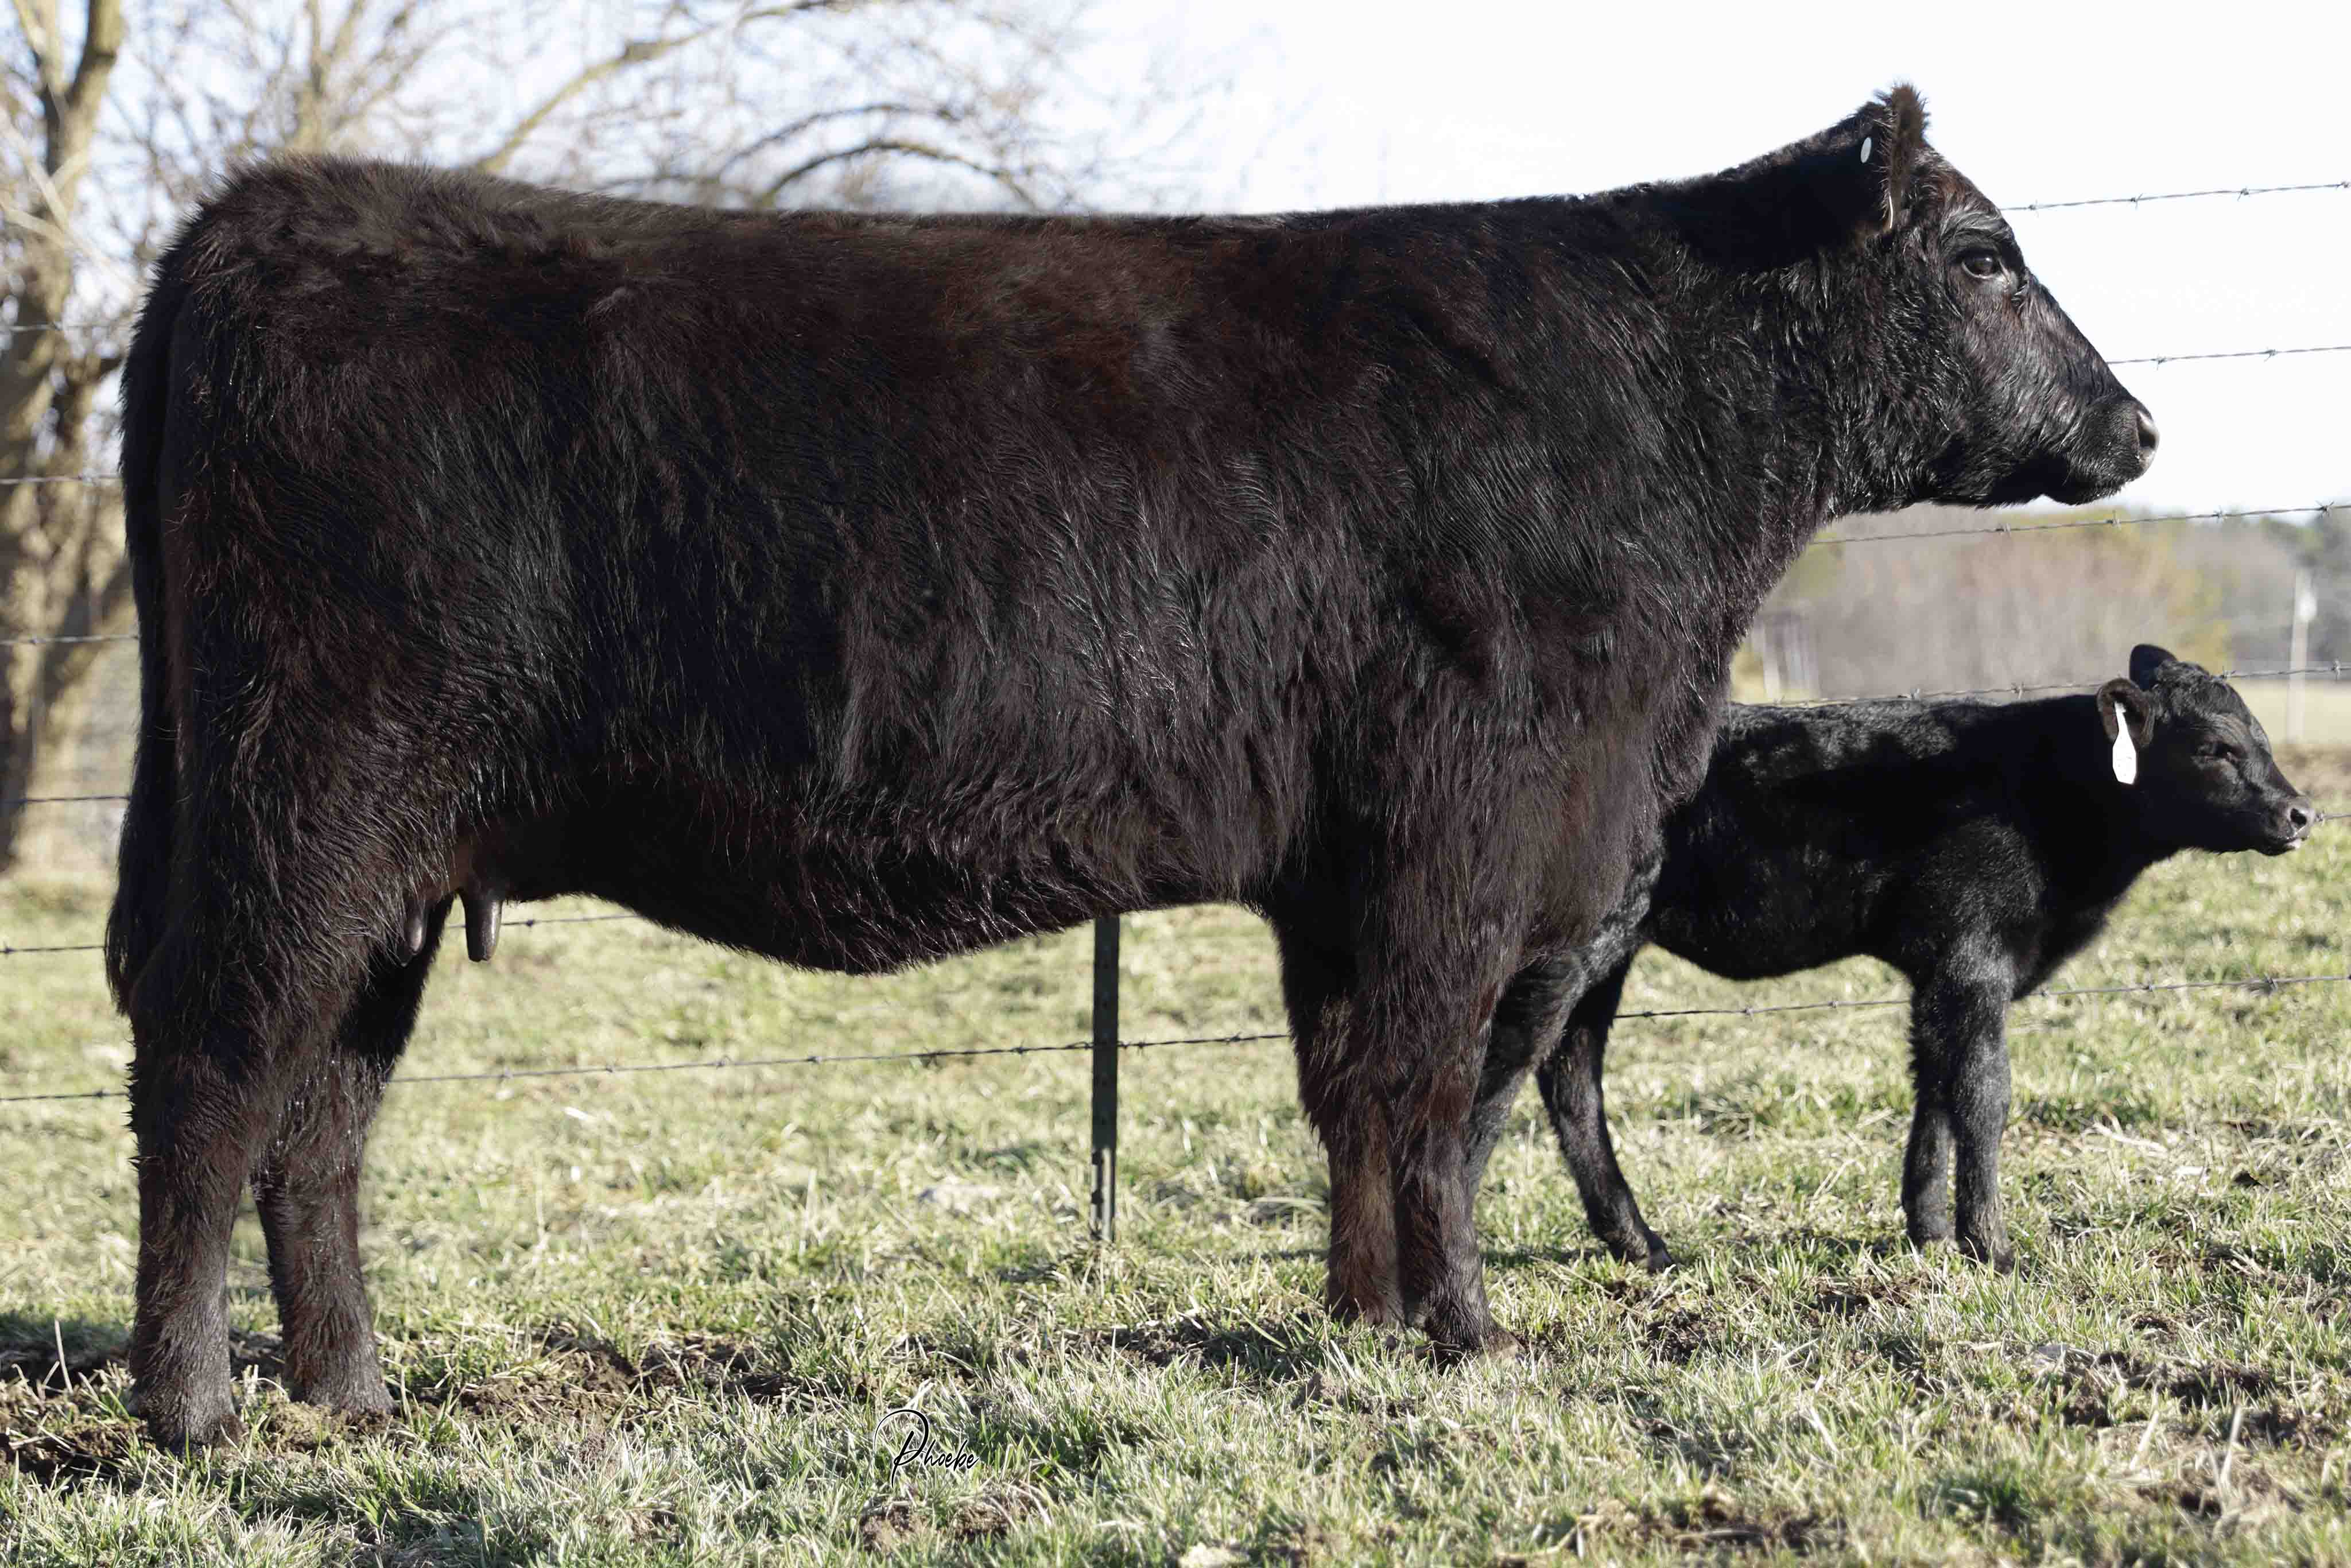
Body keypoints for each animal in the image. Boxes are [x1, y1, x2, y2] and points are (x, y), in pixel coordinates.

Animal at [109, 85, 2152, 1444]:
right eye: (1986, 254)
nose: (2135, 423)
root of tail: (260, 220)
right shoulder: (1464, 836)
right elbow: (1434, 1092)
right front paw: (1464, 1333)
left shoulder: (1355, 869)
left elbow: (1356, 1097)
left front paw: (1360, 1319)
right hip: (303, 803)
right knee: (214, 1073)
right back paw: (194, 1409)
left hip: (384, 856)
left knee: (321, 1114)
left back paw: (355, 1392)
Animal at [1483, 648, 2312, 1273]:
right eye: (2215, 748)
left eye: (2262, 738)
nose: (2300, 812)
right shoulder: (1973, 960)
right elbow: (1982, 1094)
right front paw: (1993, 1248)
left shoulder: (1940, 971)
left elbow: (1935, 1088)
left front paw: (1930, 1231)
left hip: (1610, 954)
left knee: (1571, 1075)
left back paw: (1641, 1244)